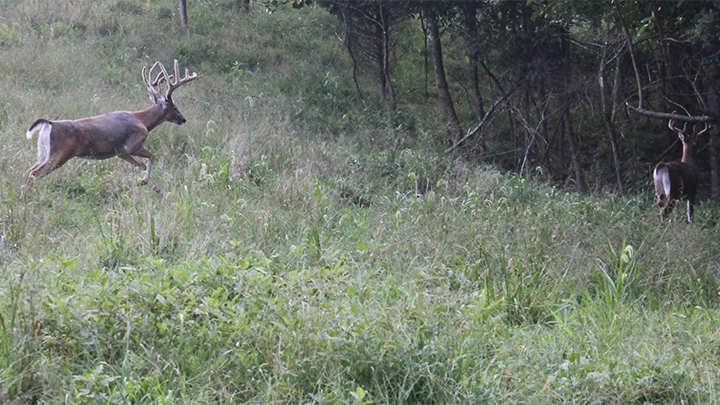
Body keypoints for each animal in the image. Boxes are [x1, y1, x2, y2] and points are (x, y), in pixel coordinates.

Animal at [24, 59, 197, 188]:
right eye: (175, 107)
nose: (183, 119)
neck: (143, 121)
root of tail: (49, 123)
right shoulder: (133, 144)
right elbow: (152, 156)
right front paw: (144, 181)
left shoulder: (121, 153)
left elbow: (141, 164)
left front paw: (150, 186)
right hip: (60, 153)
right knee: (34, 173)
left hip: (43, 153)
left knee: (29, 171)